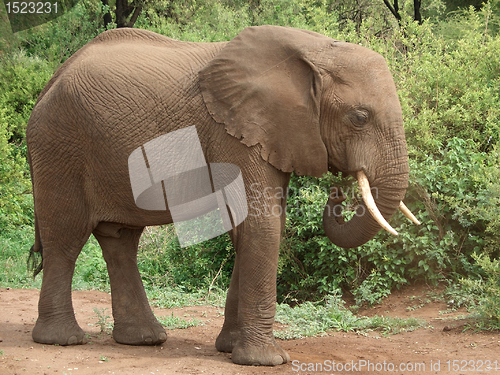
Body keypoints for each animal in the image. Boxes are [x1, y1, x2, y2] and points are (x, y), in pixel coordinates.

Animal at [26, 25, 418, 366]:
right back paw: (62, 339)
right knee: (65, 237)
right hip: (60, 146)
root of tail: (50, 81)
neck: (315, 49)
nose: (337, 192)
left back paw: (144, 339)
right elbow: (262, 225)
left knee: (120, 240)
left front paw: (230, 348)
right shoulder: (236, 133)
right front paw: (266, 361)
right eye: (359, 117)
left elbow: (255, 226)